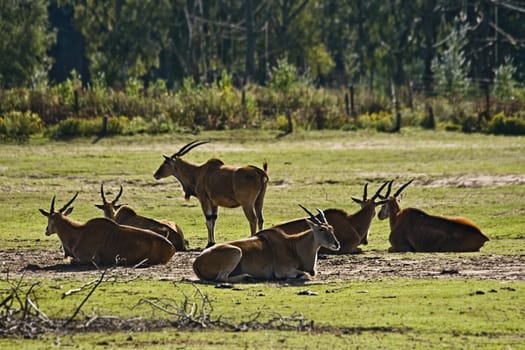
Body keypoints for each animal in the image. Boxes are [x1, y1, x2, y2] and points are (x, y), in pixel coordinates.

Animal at [39, 191, 174, 266]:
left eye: (49, 218)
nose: (46, 230)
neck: (79, 233)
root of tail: (171, 246)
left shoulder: (91, 259)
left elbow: (70, 260)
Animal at [192, 206, 340, 284]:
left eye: (332, 228)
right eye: (321, 229)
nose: (336, 244)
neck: (293, 245)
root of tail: (197, 261)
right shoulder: (284, 271)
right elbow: (306, 275)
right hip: (236, 252)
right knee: (221, 278)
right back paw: (247, 277)